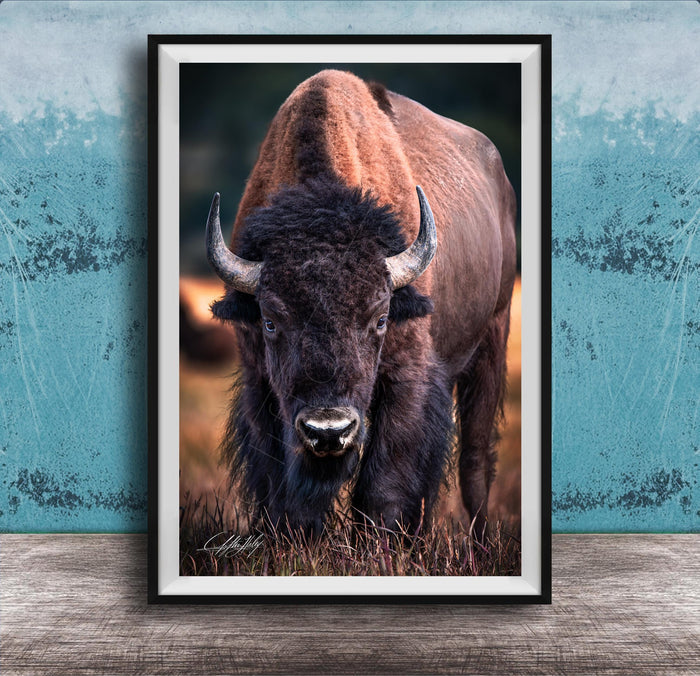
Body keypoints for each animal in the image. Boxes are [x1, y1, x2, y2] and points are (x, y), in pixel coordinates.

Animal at [207, 70, 517, 537]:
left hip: (492, 340)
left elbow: (384, 485)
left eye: (381, 318)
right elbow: (279, 484)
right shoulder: (259, 380)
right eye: (271, 321)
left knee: (474, 462)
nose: (327, 430)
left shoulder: (407, 376)